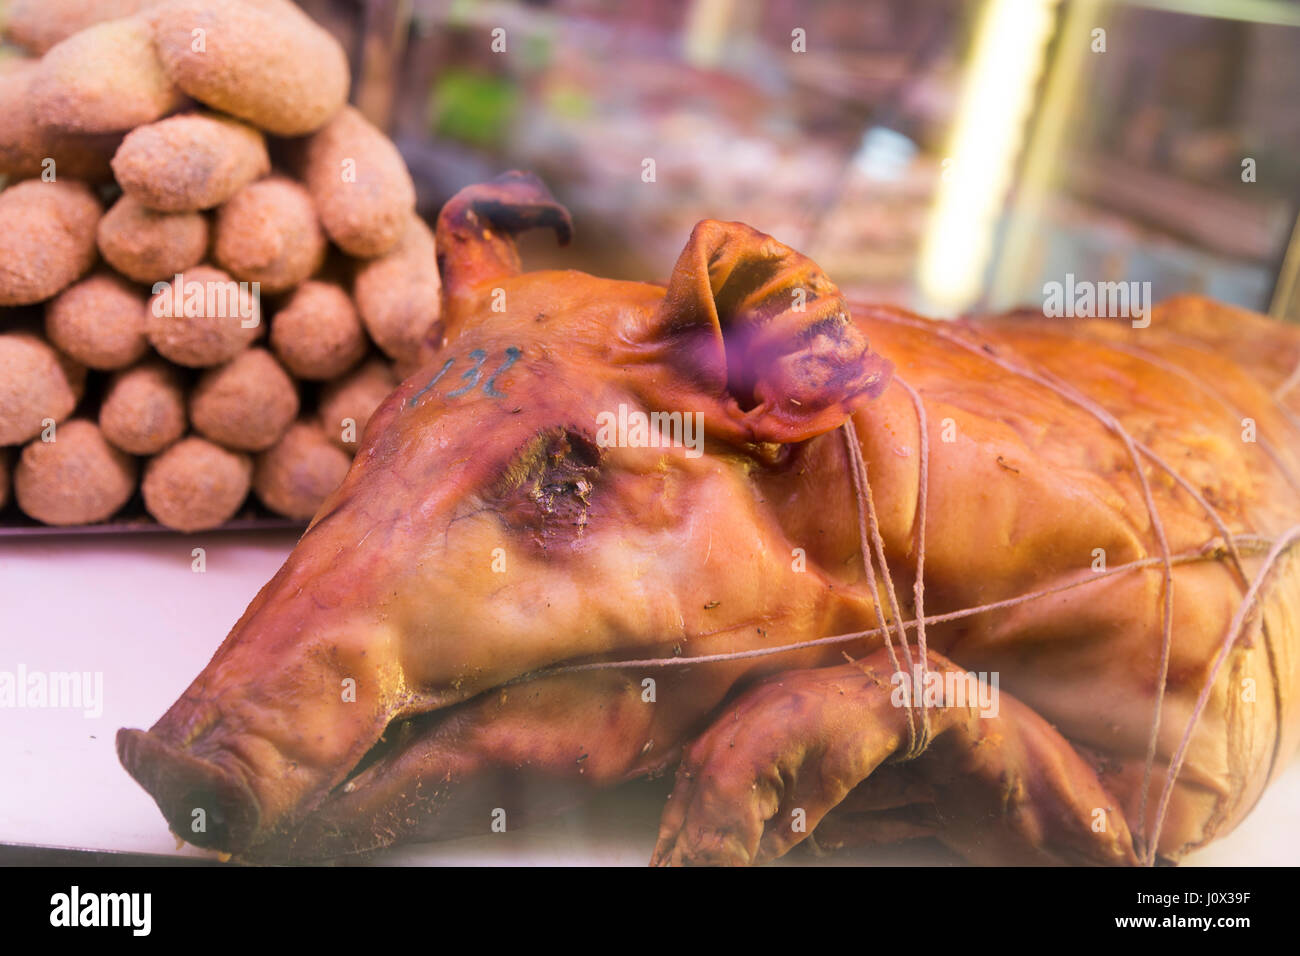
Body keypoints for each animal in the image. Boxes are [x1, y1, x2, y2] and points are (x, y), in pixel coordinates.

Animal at [119, 172, 1300, 866]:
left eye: (567, 475)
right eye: (368, 438)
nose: (164, 758)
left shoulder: (1213, 735)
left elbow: (1111, 826)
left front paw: (704, 840)